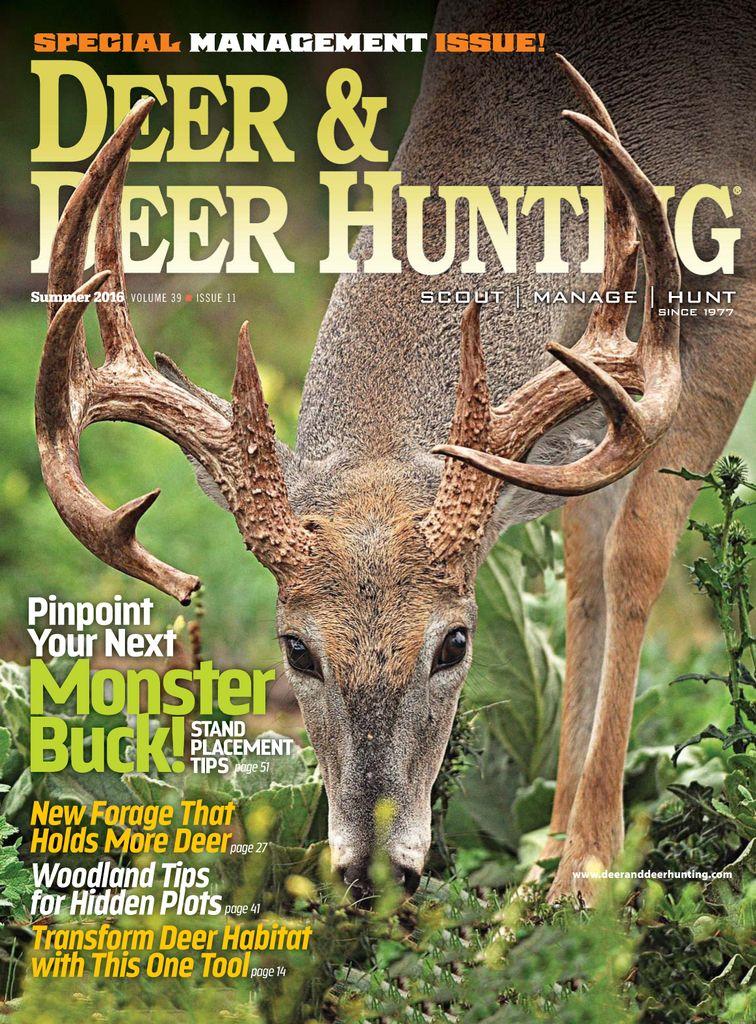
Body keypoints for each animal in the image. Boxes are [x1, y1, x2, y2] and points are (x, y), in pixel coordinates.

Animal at [36, 0, 754, 906]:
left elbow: (637, 554)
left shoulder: (733, 289)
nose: (374, 870)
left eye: (456, 644)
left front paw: (589, 872)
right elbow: (583, 575)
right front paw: (548, 854)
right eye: (296, 649)